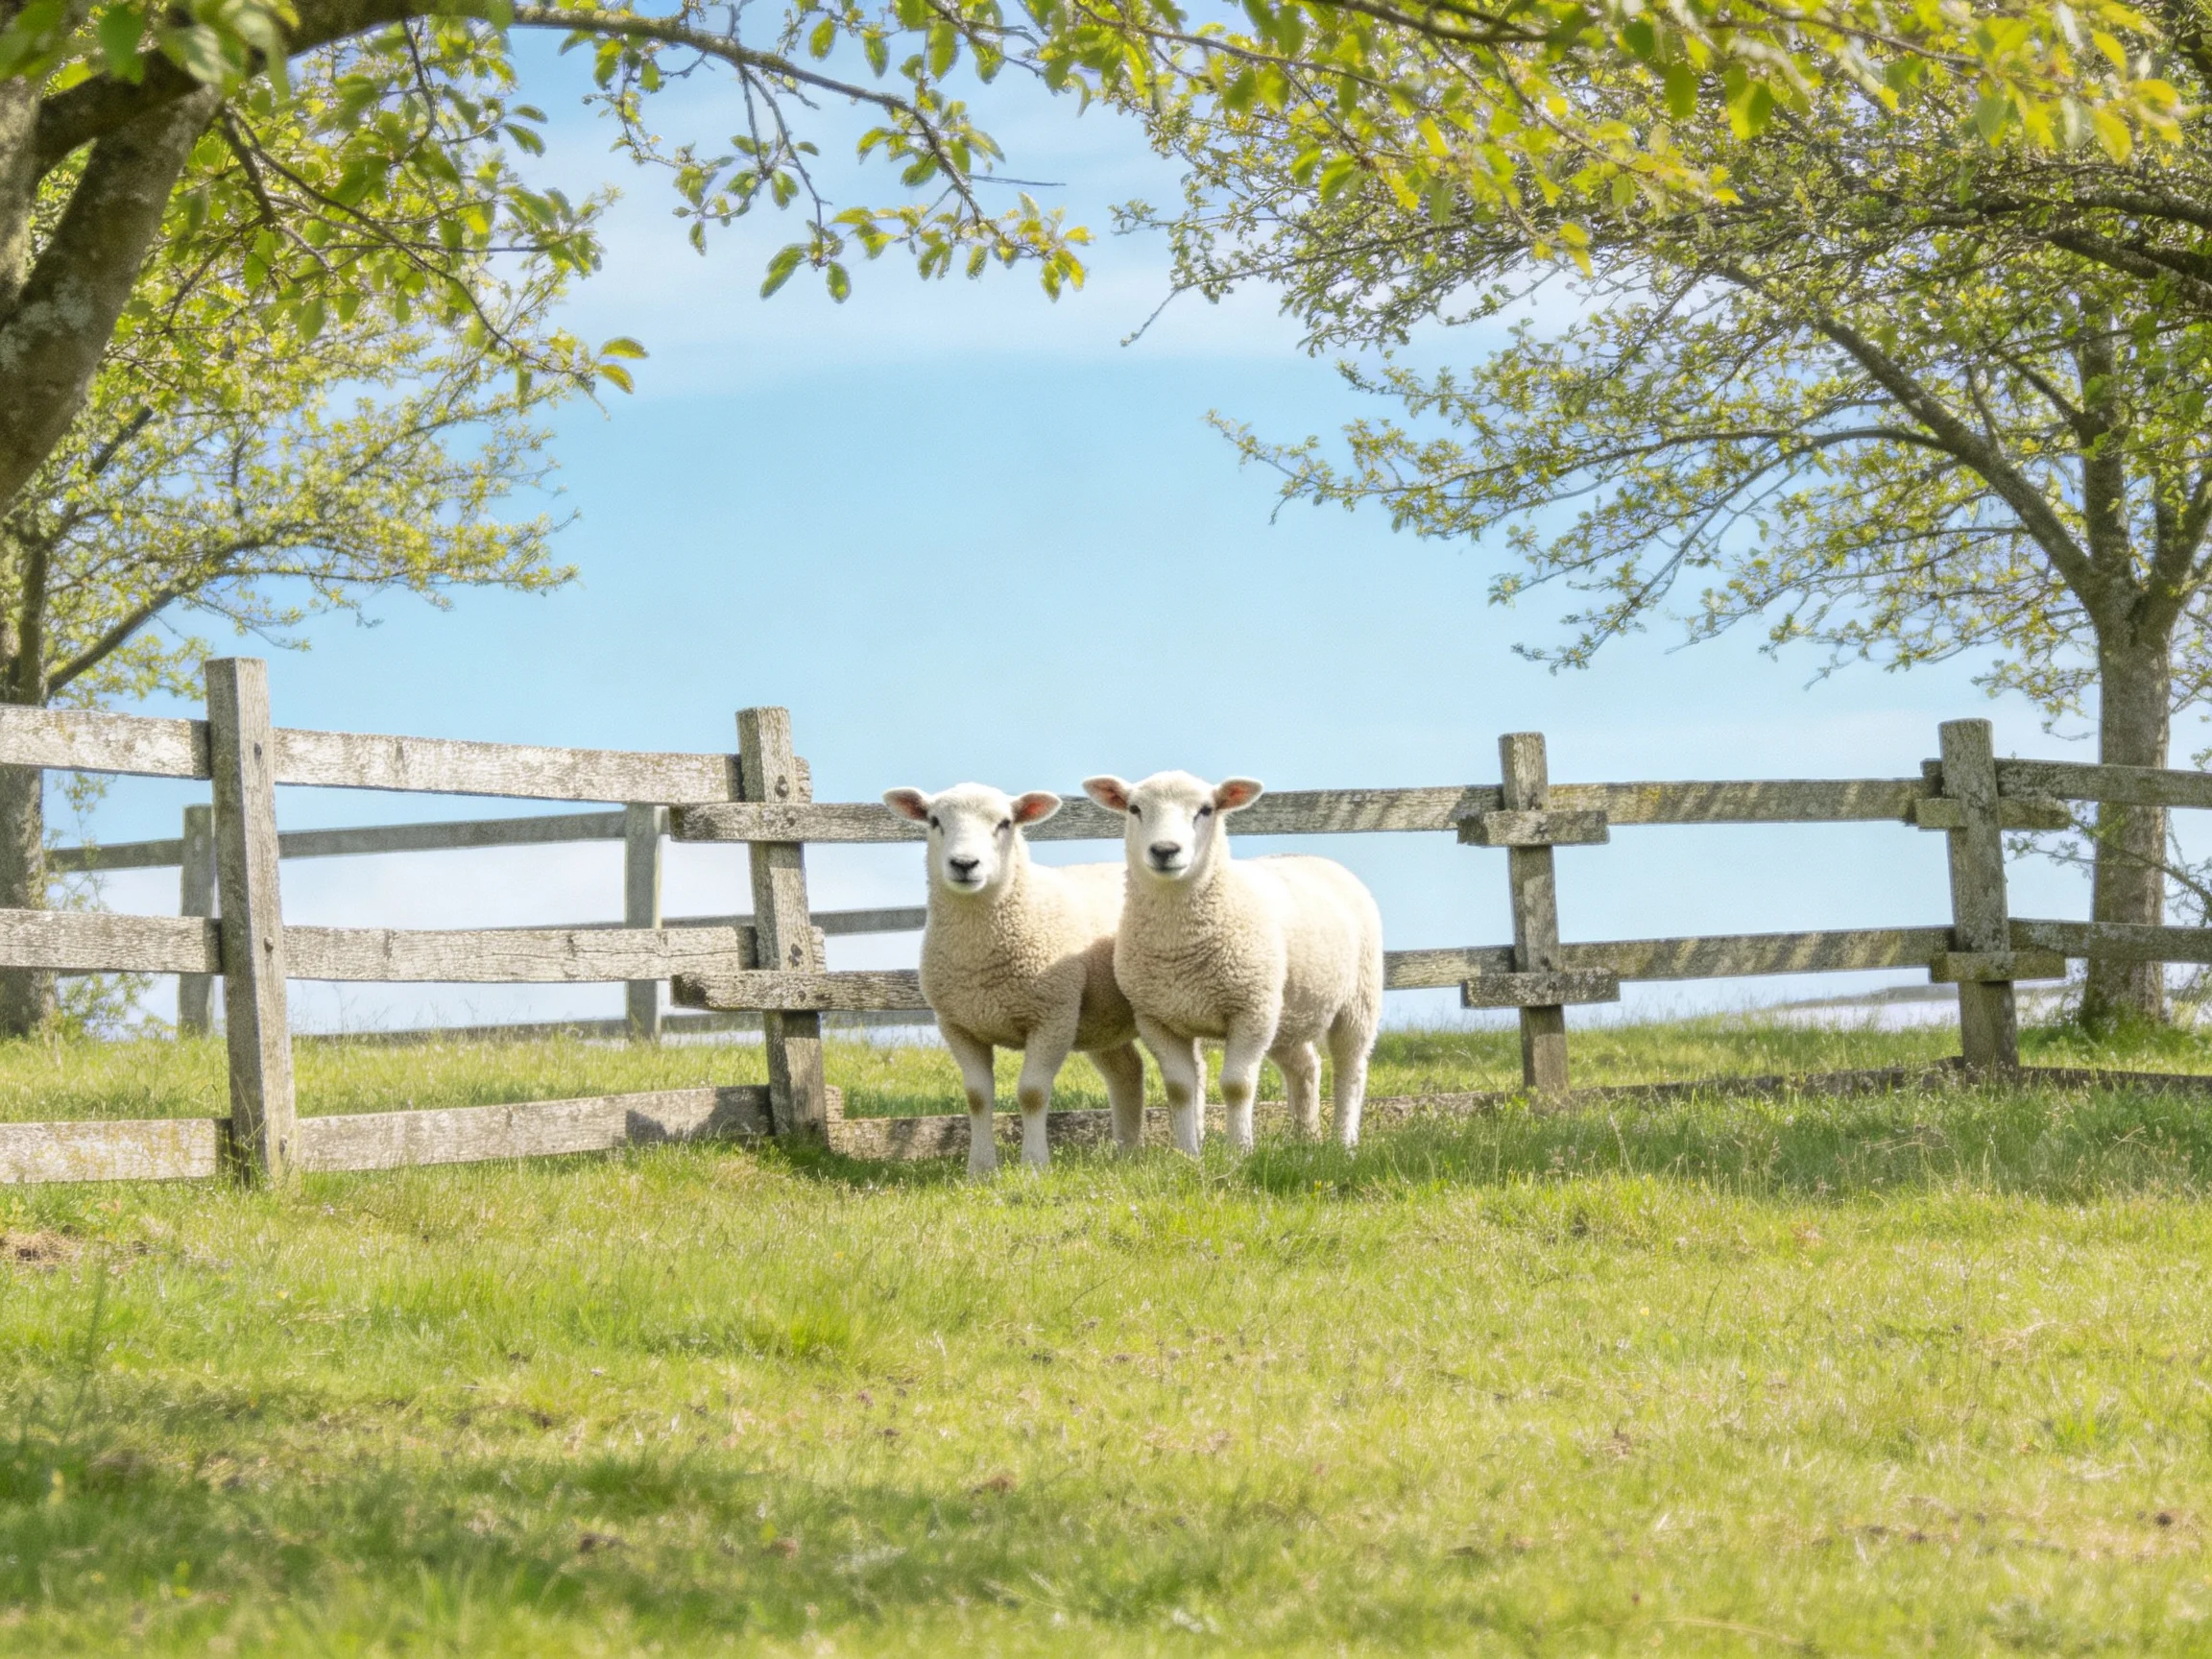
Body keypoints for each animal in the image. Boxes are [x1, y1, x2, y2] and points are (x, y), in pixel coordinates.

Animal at [882, 783, 1146, 1174]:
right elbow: (977, 1097)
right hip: (1102, 1022)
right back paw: (1127, 1155)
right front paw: (980, 1169)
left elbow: (1032, 1094)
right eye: (934, 821)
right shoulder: (957, 1025)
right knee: (1127, 1072)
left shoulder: (1052, 1018)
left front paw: (1034, 1166)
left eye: (1004, 823)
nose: (964, 864)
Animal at [1080, 770, 1383, 1156]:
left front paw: (1240, 1152)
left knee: (1351, 1069)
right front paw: (1189, 1155)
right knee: (1305, 1066)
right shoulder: (1157, 1019)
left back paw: (1344, 1143)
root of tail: (1318, 859)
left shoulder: (1249, 1011)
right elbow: (1181, 1089)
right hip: (1285, 1014)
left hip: (1357, 1000)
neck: (1180, 947)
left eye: (1205, 809)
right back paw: (1305, 1138)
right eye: (1134, 809)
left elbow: (1237, 1086)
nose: (1165, 851)